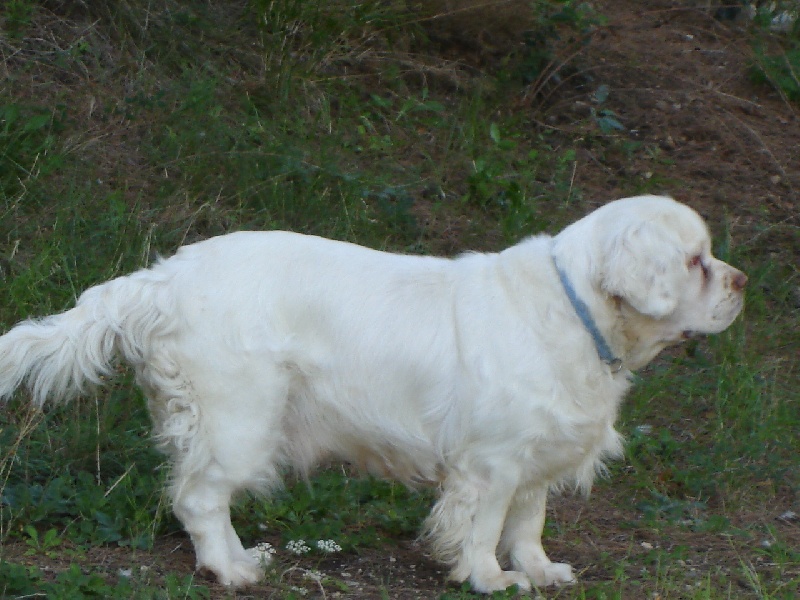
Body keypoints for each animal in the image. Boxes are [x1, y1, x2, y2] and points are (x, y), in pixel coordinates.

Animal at [0, 195, 746, 592]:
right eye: (696, 262)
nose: (742, 282)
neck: (576, 310)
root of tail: (160, 280)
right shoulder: (491, 465)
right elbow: (483, 530)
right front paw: (489, 579)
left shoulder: (537, 460)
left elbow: (529, 524)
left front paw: (539, 571)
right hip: (241, 422)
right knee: (198, 500)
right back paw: (233, 570)